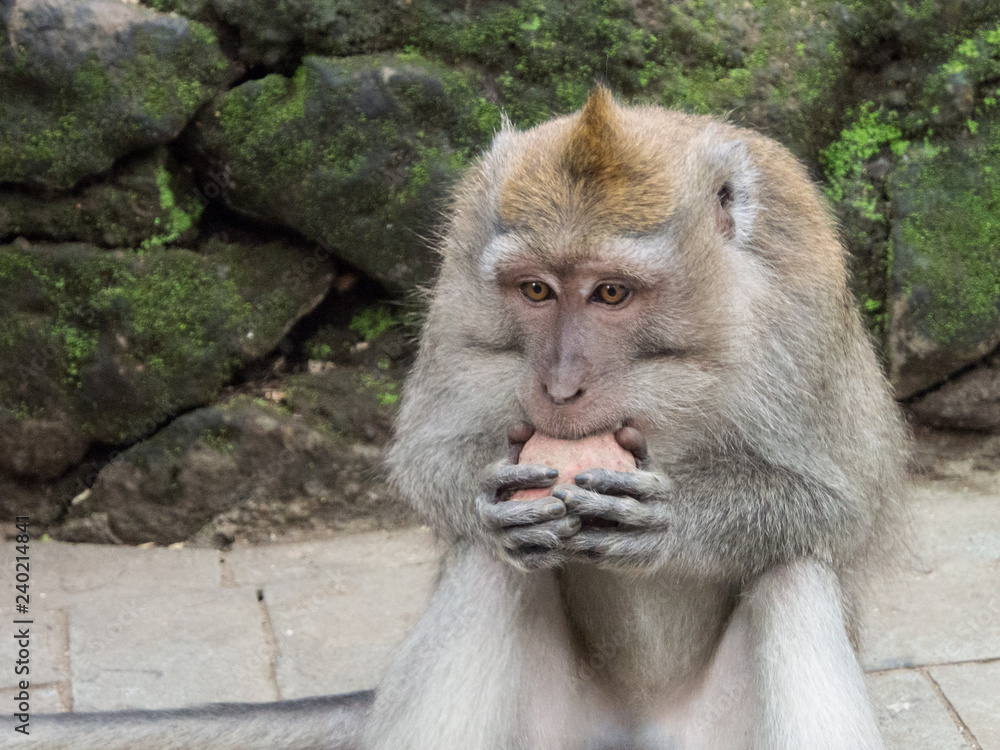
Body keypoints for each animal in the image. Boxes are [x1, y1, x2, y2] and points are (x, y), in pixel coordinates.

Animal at [6, 86, 906, 750]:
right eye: (536, 289)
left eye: (612, 292)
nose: (561, 386)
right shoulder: (461, 263)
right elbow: (430, 453)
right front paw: (486, 500)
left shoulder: (800, 302)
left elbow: (838, 504)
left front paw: (672, 521)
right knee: (487, 566)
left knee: (794, 577)